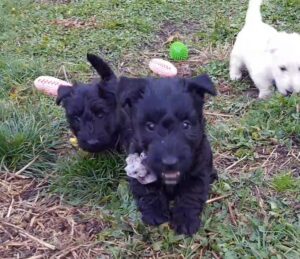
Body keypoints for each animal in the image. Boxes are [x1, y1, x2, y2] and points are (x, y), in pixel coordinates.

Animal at [119, 74, 218, 236]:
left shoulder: (199, 173)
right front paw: (155, 213)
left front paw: (185, 219)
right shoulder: (140, 172)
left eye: (186, 124)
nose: (169, 162)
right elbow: (149, 191)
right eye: (150, 126)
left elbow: (190, 195)